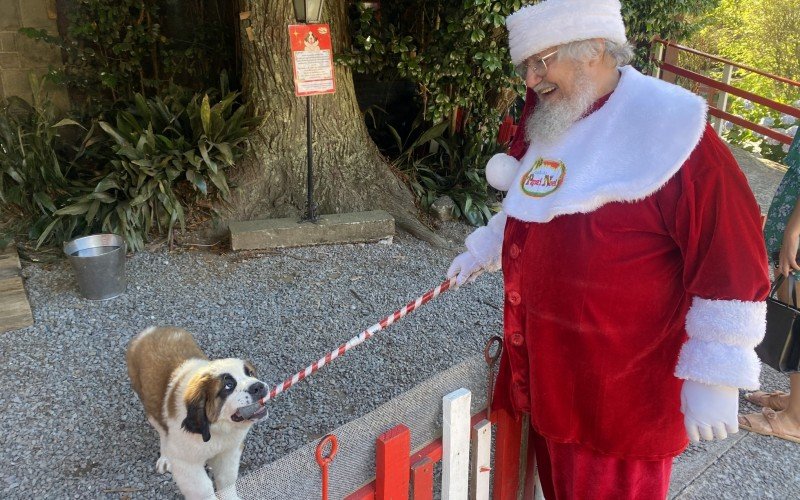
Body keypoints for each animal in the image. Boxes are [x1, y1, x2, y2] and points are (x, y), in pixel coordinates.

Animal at [127, 326, 268, 498]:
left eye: (250, 373)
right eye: (228, 386)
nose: (258, 386)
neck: (216, 429)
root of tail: (151, 330)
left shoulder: (230, 450)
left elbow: (227, 478)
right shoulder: (186, 464)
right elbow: (203, 489)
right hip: (150, 407)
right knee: (162, 431)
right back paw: (165, 456)